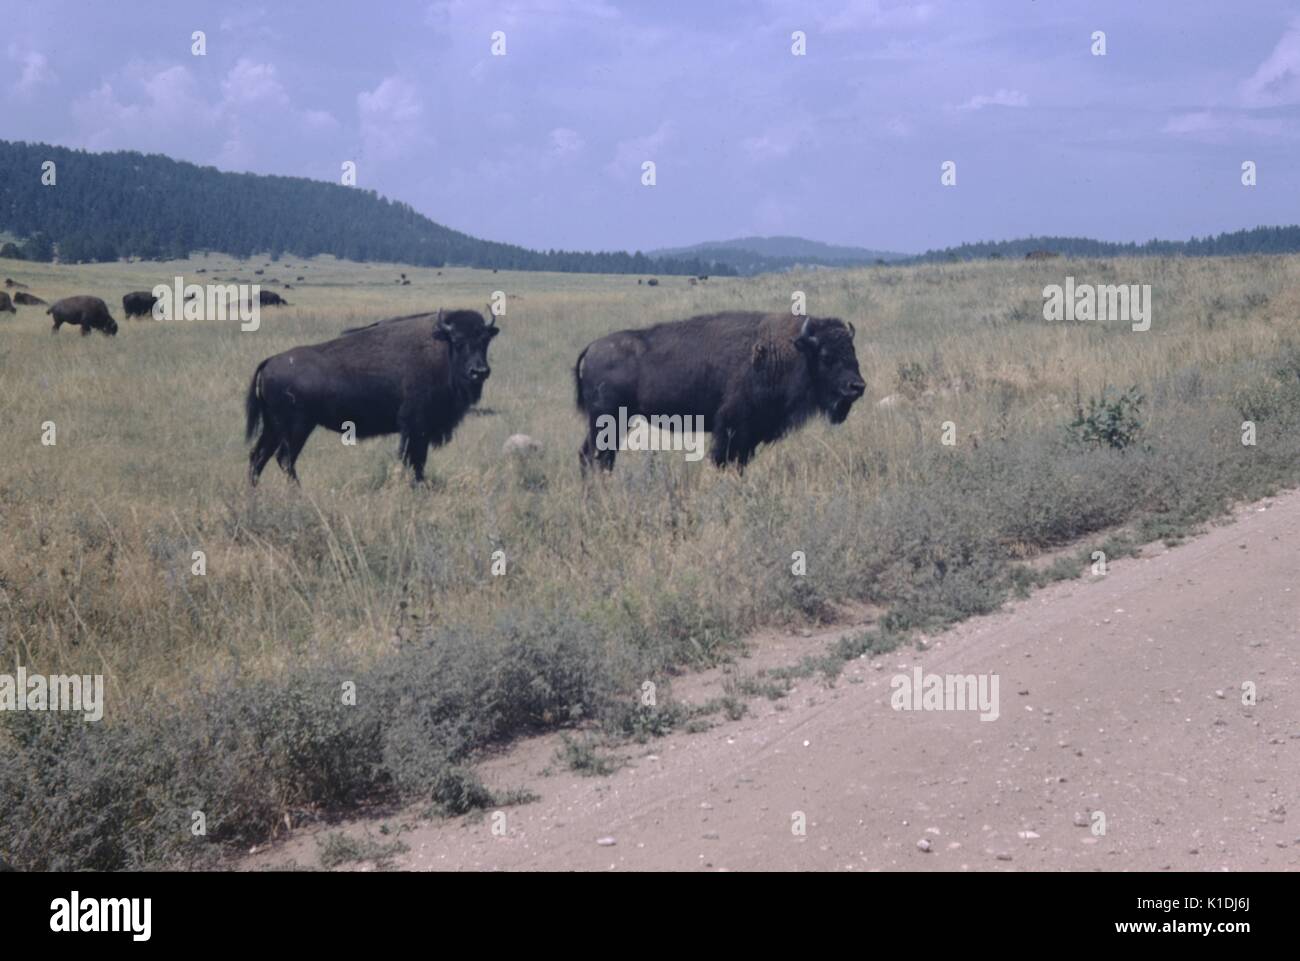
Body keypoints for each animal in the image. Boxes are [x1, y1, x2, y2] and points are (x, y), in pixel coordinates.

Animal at [245, 309, 499, 483]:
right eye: (458, 341)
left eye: (485, 340)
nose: (479, 371)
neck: (442, 350)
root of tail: (270, 362)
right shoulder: (416, 427)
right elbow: (415, 460)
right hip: (297, 427)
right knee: (284, 458)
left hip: (274, 427)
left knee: (259, 456)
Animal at [572, 309, 863, 470]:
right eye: (826, 356)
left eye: (852, 352)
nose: (857, 386)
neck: (785, 351)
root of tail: (592, 348)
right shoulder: (732, 428)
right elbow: (724, 460)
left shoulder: (750, 434)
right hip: (606, 421)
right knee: (595, 456)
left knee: (594, 457)